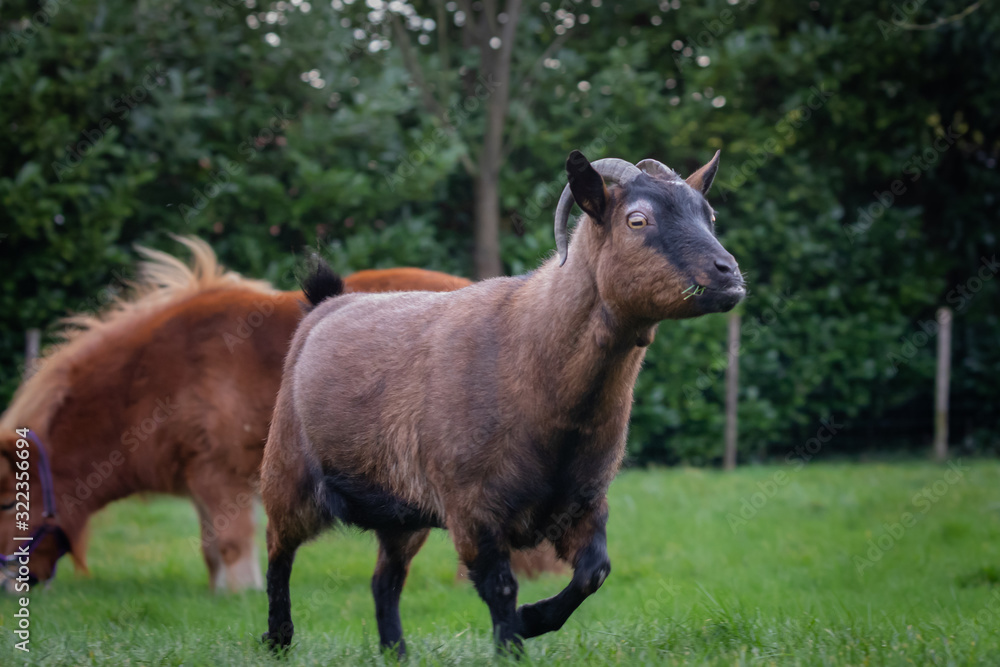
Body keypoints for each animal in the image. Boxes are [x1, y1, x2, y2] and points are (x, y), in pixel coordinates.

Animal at [260, 150, 745, 655]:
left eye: (708, 216)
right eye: (637, 220)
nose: (729, 273)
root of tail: (325, 304)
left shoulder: (583, 500)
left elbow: (593, 573)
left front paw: (531, 621)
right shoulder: (474, 509)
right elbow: (501, 588)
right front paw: (512, 644)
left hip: (402, 513)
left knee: (384, 581)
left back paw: (396, 653)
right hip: (287, 475)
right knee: (278, 552)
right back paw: (278, 639)